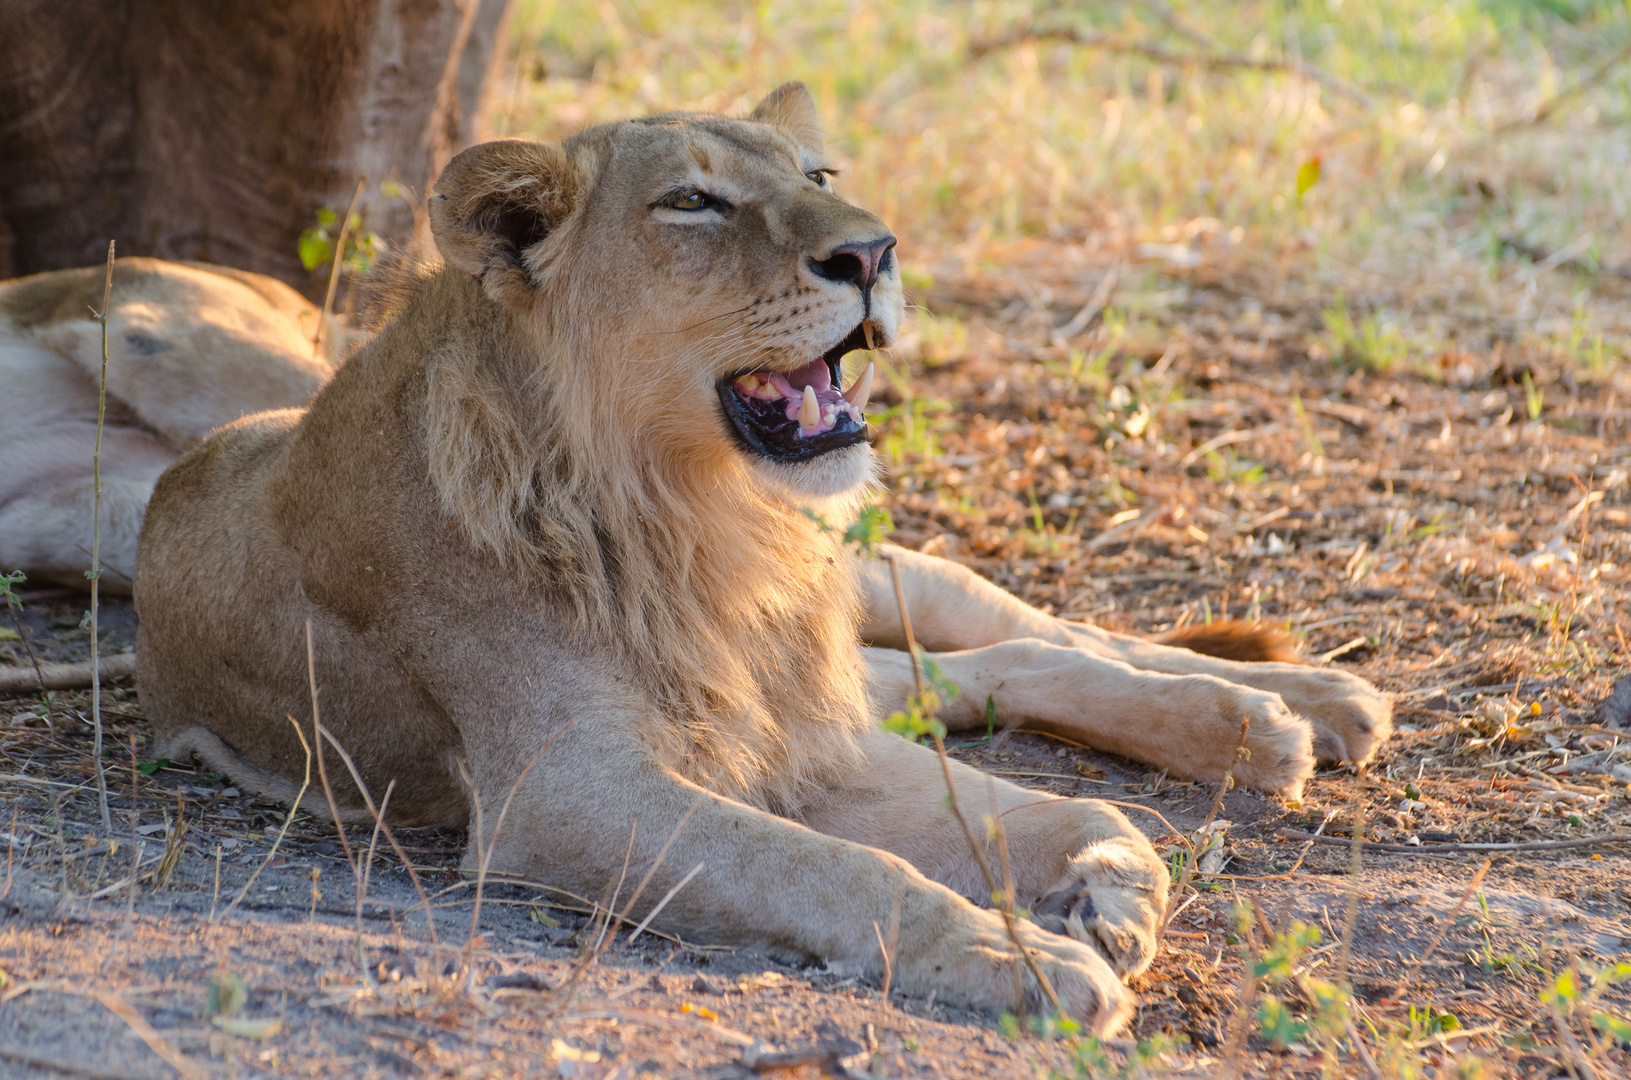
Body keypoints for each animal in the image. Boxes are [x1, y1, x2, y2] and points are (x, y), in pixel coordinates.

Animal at [127, 84, 1389, 1031]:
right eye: (691, 202)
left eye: (817, 178)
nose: (873, 251)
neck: (696, 518)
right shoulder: (567, 794)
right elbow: (841, 868)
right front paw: (1023, 955)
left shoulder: (797, 729)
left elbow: (1033, 808)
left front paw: (1106, 875)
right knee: (974, 677)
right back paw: (1270, 722)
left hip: (867, 590)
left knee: (1020, 626)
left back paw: (1293, 708)